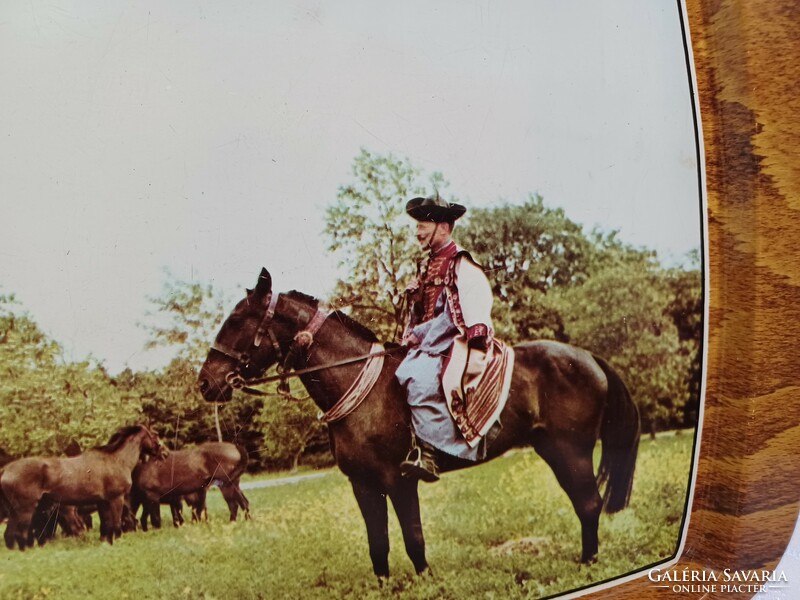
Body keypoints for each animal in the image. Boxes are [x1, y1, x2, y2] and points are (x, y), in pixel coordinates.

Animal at [0, 422, 166, 548]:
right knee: (20, 534)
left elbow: (106, 526)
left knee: (9, 535)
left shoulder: (103, 503)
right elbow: (116, 525)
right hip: (25, 510)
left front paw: (106, 543)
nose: (164, 453)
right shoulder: (116, 499)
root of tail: (5, 470)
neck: (117, 460)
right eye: (155, 435)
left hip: (14, 512)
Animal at [197, 270, 640, 580]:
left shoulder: (399, 480)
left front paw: (426, 579)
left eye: (236, 320)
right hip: (553, 448)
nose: (205, 382)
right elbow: (378, 542)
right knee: (585, 503)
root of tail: (588, 356)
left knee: (588, 503)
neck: (361, 385)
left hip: (572, 450)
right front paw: (384, 585)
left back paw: (588, 562)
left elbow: (412, 537)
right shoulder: (363, 485)